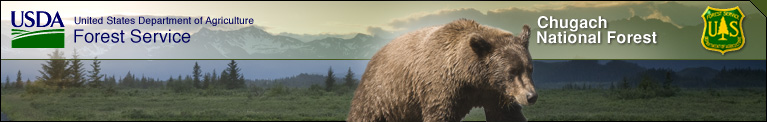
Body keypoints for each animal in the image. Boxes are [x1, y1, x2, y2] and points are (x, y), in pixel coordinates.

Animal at [350, 18, 536, 121]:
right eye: (512, 71)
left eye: (529, 68)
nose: (531, 96)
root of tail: (374, 56)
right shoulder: (440, 88)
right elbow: (440, 114)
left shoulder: (495, 93)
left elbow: (508, 115)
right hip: (382, 95)